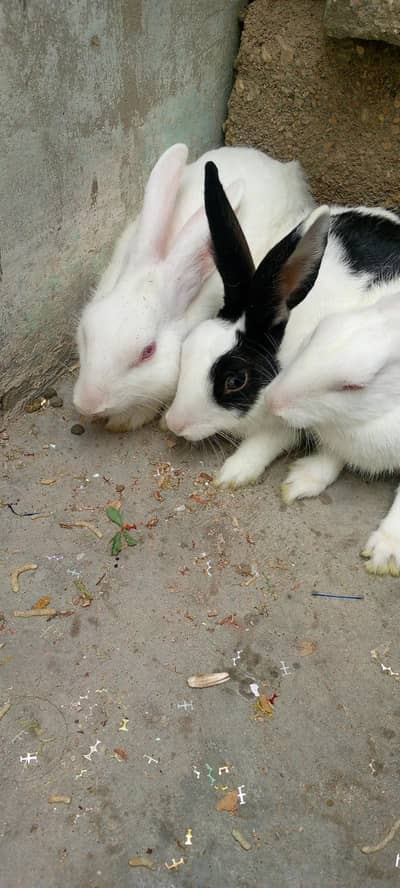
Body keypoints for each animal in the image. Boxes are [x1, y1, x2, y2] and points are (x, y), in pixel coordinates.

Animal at [166, 160, 400, 492]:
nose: (174, 423)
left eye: (235, 381)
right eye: (187, 348)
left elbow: (265, 442)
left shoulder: (287, 424)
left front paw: (233, 473)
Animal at [265, 291, 400, 576]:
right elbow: (331, 455)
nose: (272, 402)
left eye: (353, 386)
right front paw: (299, 482)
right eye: (318, 330)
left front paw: (385, 554)